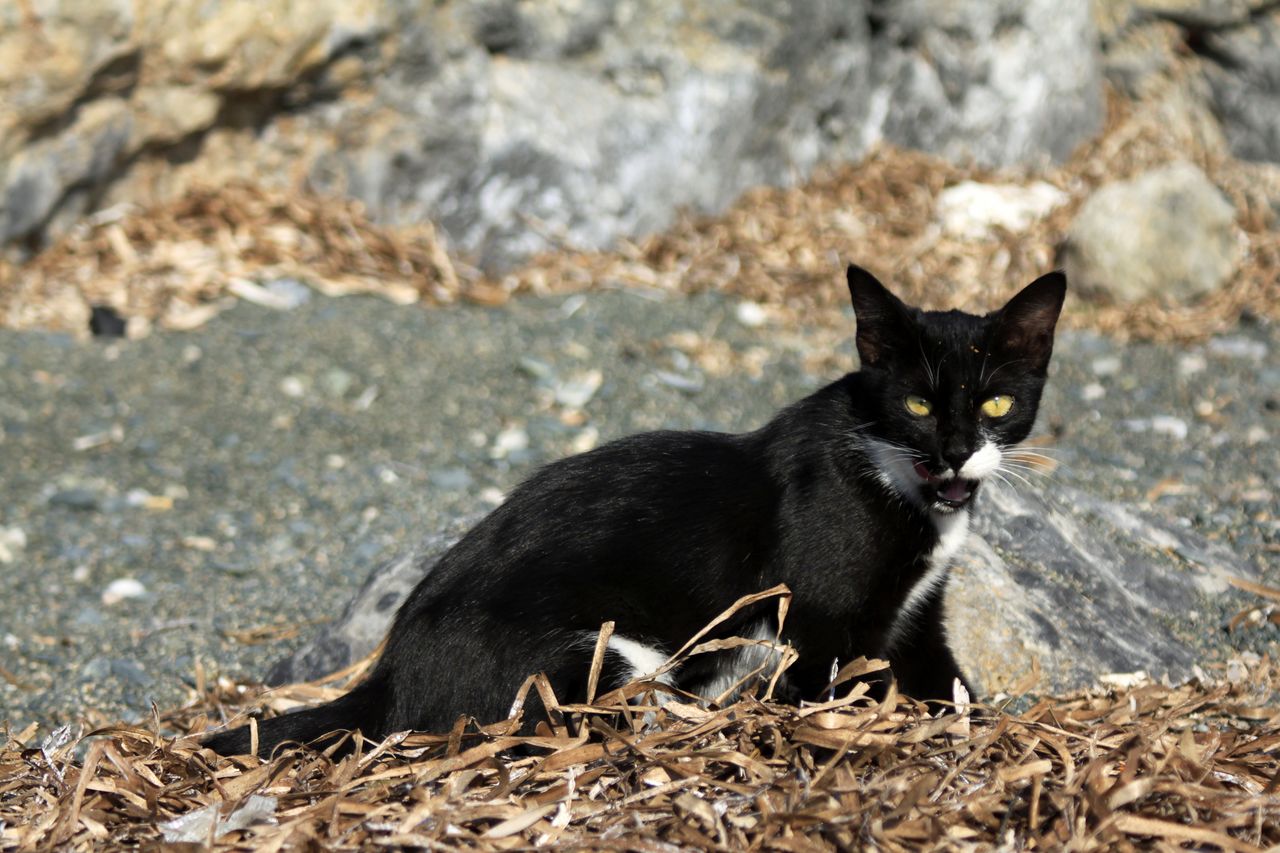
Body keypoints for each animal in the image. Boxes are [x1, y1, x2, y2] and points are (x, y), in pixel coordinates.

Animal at [204, 263, 1064, 753]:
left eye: (995, 401)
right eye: (918, 402)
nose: (956, 450)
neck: (905, 487)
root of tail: (383, 676)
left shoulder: (918, 615)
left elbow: (947, 680)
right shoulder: (818, 618)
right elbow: (826, 685)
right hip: (610, 653)